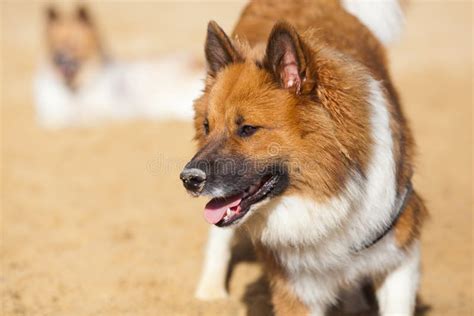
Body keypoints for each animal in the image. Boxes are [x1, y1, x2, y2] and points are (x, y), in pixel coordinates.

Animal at [34, 4, 202, 128]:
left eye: (74, 44)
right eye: (54, 45)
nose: (59, 58)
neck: (75, 89)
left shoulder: (107, 110)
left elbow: (86, 116)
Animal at [180, 0, 428, 316]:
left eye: (247, 129)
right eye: (207, 127)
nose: (188, 179)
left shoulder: (399, 255)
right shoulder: (297, 286)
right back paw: (210, 292)